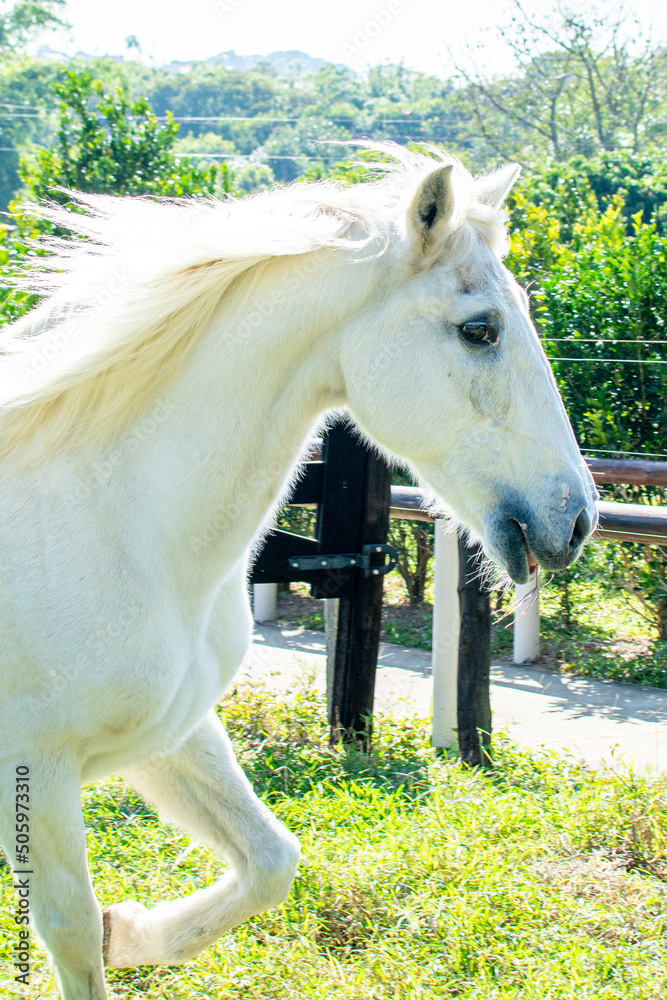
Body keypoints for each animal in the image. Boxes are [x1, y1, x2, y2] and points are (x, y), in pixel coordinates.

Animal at [0, 145, 597, 1000]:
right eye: (478, 330)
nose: (575, 519)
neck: (109, 515)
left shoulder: (170, 733)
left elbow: (269, 862)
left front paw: (136, 930)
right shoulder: (36, 768)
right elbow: (72, 934)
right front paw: (115, 932)